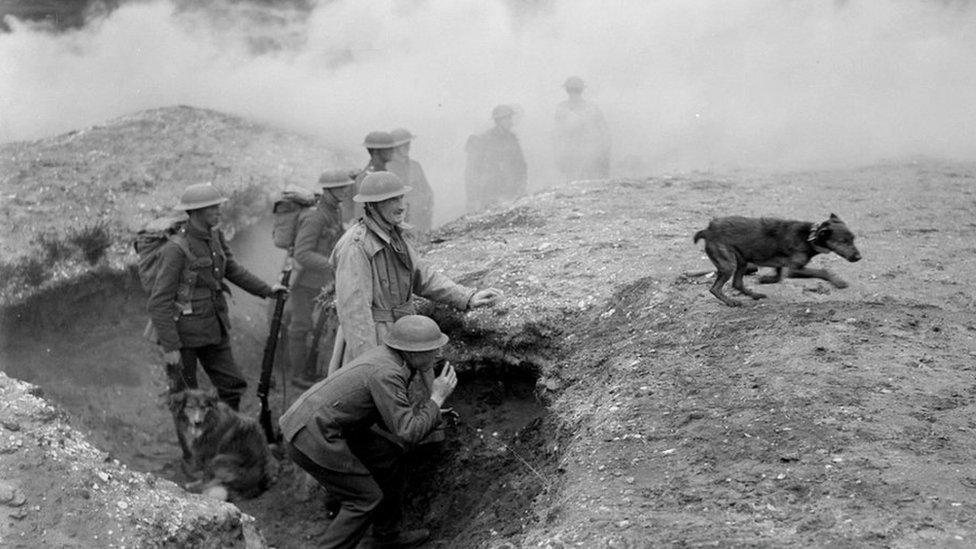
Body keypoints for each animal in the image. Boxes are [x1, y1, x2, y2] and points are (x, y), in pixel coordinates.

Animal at [692, 214, 860, 306]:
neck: (809, 236)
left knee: (737, 283)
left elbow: (778, 277)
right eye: (844, 241)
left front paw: (765, 279)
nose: (859, 257)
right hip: (728, 265)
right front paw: (838, 282)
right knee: (715, 288)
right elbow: (823, 271)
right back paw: (731, 302)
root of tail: (708, 230)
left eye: (853, 238)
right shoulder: (794, 269)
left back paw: (754, 295)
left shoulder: (781, 265)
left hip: (742, 261)